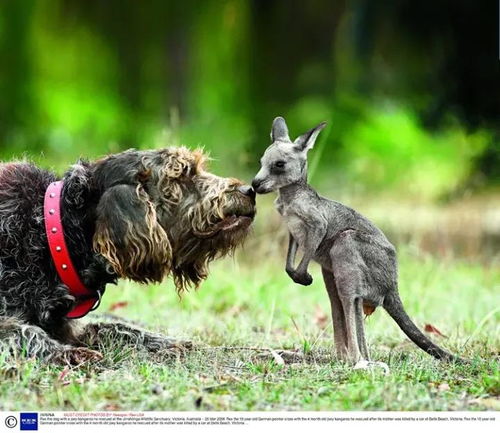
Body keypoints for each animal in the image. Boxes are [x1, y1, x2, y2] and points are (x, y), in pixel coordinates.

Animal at [0, 147, 256, 362]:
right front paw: (71, 354)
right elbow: (26, 333)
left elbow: (119, 328)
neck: (52, 231)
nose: (250, 190)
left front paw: (168, 342)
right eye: (183, 174)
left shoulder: (72, 328)